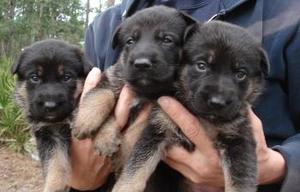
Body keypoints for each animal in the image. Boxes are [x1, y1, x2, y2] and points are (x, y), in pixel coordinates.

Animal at [11, 39, 91, 192]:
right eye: (34, 77)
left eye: (66, 77)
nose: (50, 105)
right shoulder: (48, 134)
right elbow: (55, 163)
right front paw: (54, 186)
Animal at [112, 21, 270, 192]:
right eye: (201, 66)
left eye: (241, 74)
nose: (217, 102)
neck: (201, 117)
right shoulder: (158, 127)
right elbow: (137, 166)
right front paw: (124, 187)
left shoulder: (238, 139)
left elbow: (240, 181)